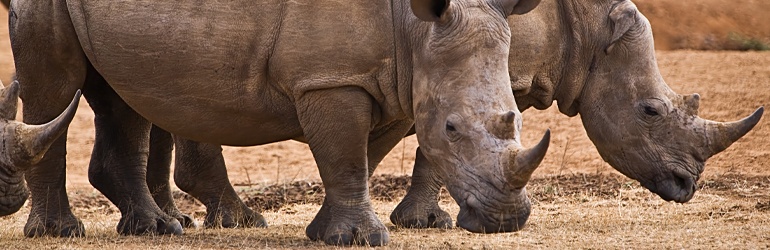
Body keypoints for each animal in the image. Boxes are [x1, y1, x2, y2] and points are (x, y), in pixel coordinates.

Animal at [0, 0, 544, 246]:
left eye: (516, 119)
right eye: (451, 129)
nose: (505, 220)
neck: (413, 26)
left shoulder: (387, 78)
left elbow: (360, 157)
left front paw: (326, 232)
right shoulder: (330, 78)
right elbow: (347, 156)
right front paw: (361, 239)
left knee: (122, 95)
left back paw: (155, 229)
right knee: (58, 88)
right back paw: (60, 233)